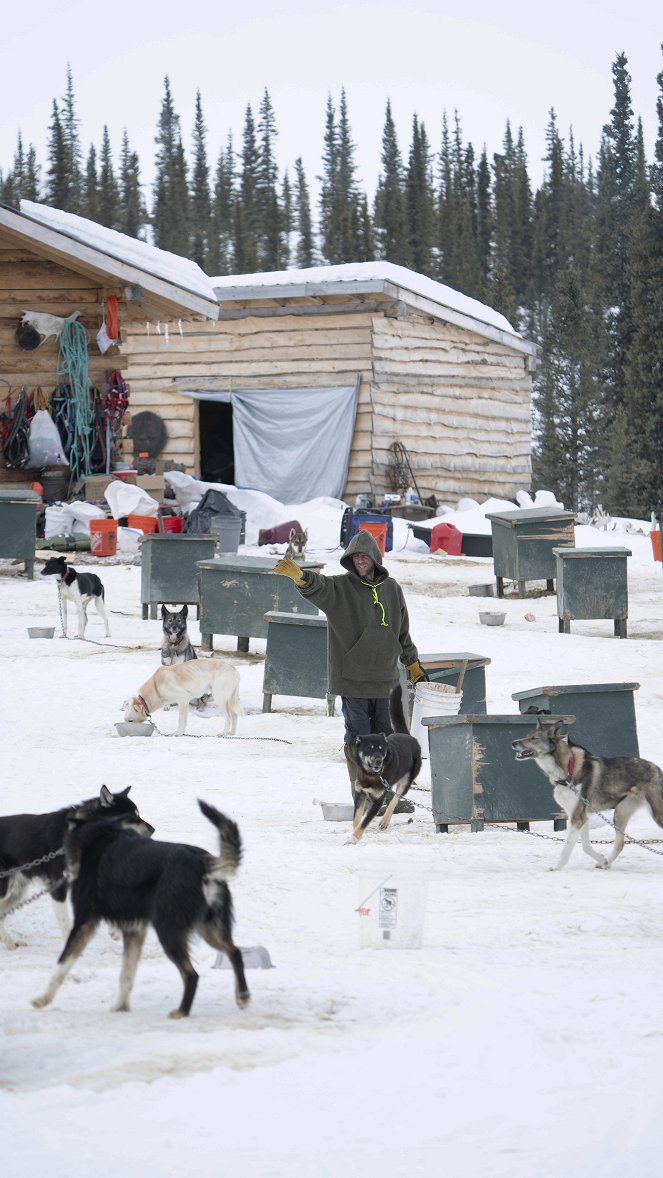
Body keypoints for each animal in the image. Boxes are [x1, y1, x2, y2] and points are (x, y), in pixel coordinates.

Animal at [0, 786, 150, 951]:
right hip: (5, 889)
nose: (153, 829)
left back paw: (10, 941)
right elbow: (66, 923)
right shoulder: (58, 888)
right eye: (131, 816)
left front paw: (114, 931)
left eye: (138, 814)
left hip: (16, 892)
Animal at [31, 801, 249, 1022]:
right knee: (235, 952)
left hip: (168, 930)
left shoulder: (84, 923)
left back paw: (182, 1011)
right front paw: (121, 1006)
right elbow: (126, 974)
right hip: (209, 929)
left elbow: (62, 964)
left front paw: (43, 998)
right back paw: (242, 996)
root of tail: (203, 864)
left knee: (191, 975)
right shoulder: (134, 929)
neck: (100, 833)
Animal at [515, 711, 663, 871]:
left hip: (656, 813)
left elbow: (566, 849)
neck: (566, 771)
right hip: (620, 813)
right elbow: (585, 846)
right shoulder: (582, 817)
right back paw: (605, 864)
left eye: (534, 738)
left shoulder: (577, 818)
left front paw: (556, 869)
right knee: (620, 844)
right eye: (527, 735)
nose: (513, 743)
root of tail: (657, 768)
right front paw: (602, 859)